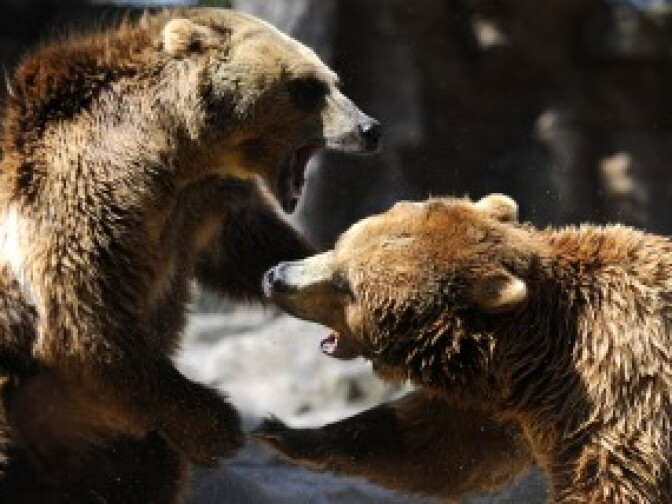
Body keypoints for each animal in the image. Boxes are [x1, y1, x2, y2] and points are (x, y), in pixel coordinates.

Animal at [0, 7, 379, 503]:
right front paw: (218, 425)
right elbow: (86, 323)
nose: (370, 128)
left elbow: (245, 248)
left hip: (111, 447)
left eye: (333, 79)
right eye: (309, 86)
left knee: (144, 476)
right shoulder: (79, 192)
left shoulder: (207, 201)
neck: (171, 151)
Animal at [258, 194, 672, 503]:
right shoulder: (515, 399)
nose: (276, 275)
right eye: (340, 245)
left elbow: (612, 480)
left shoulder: (616, 390)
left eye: (346, 286)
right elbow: (443, 441)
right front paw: (285, 432)